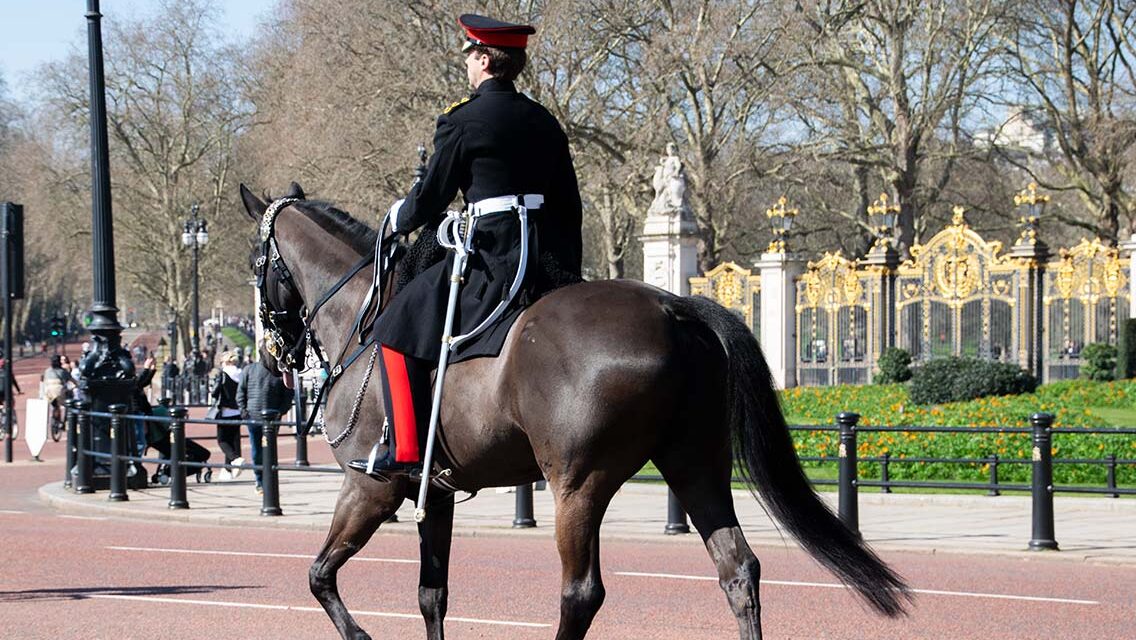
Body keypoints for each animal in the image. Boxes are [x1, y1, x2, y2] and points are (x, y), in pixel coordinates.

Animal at [239, 183, 910, 640]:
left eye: (257, 263)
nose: (272, 357)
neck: (365, 318)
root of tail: (676, 307)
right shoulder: (436, 492)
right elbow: (432, 594)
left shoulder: (371, 485)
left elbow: (319, 575)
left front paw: (361, 634)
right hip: (695, 465)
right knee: (738, 569)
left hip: (578, 483)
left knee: (581, 592)